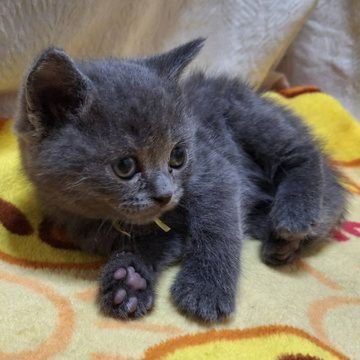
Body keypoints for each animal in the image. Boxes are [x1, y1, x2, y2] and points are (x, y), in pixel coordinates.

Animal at [14, 38, 346, 320]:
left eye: (178, 156)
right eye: (125, 166)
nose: (165, 195)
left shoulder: (216, 171)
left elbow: (217, 226)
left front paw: (205, 288)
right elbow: (152, 245)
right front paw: (130, 281)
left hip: (247, 115)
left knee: (300, 152)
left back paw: (294, 218)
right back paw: (282, 242)